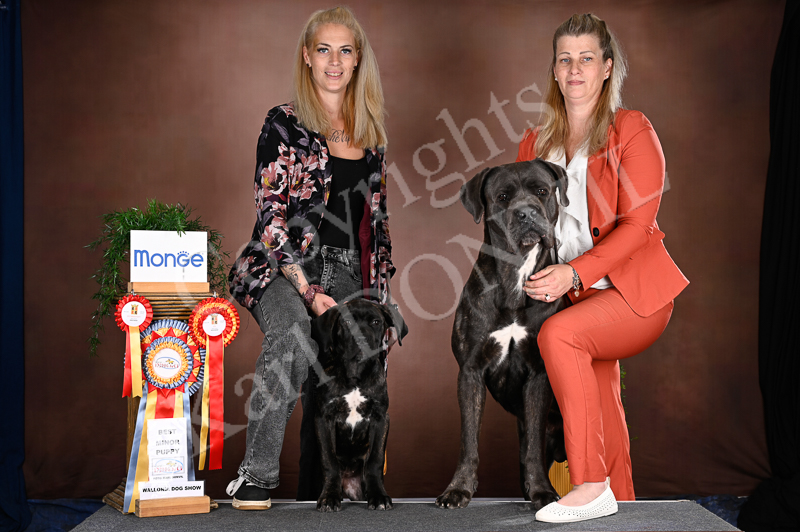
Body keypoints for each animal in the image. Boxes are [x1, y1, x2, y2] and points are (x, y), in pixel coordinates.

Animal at [309, 298, 403, 512]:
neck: (355, 374)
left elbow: (375, 460)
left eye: (376, 322)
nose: (362, 340)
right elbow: (329, 460)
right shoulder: (323, 418)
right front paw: (329, 497)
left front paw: (379, 496)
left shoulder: (380, 417)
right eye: (347, 322)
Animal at [436, 159, 569, 511]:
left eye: (541, 191)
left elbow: (533, 445)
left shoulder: (538, 374)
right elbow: (469, 440)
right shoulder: (470, 372)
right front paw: (458, 489)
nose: (526, 213)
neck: (516, 274)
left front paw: (542, 492)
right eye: (504, 197)